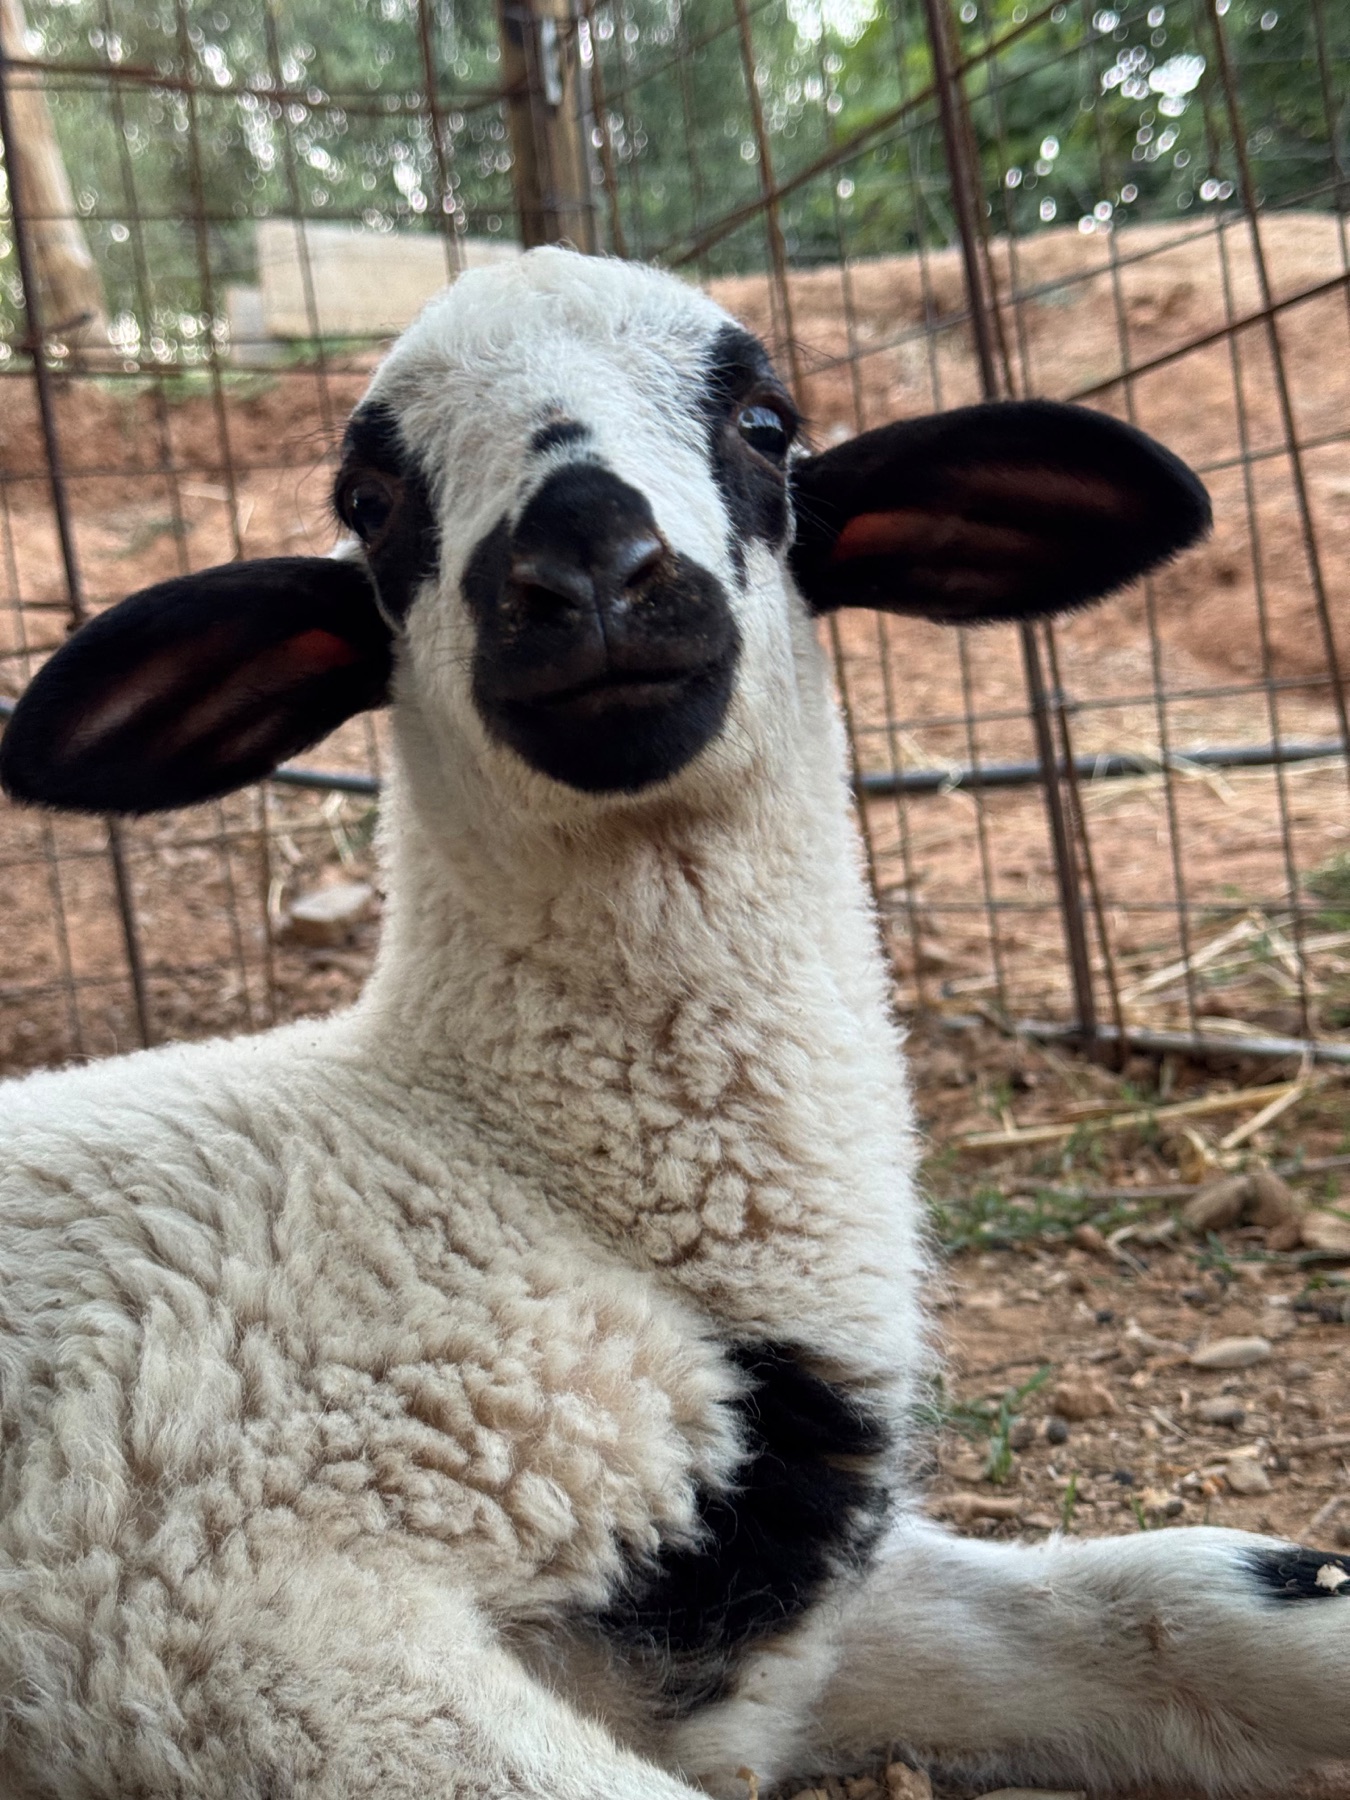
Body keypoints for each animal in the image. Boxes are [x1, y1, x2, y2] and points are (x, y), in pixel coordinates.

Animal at [0, 246, 1345, 1800]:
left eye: (765, 422)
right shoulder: (218, 1601)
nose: (587, 565)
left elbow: (1187, 1606)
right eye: (369, 499)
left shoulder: (770, 1637)